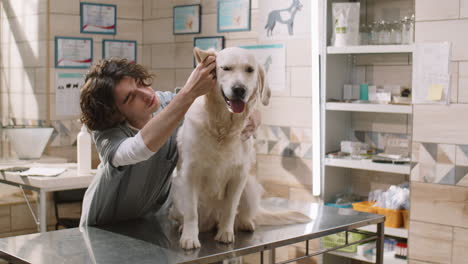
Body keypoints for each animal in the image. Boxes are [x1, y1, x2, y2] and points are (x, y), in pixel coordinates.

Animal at [171, 46, 310, 250]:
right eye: (225, 68)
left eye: (249, 70)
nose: (239, 89)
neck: (222, 127)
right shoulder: (189, 173)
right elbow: (191, 213)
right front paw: (189, 237)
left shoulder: (238, 175)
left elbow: (230, 208)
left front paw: (225, 233)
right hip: (177, 189)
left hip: (249, 186)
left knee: (240, 213)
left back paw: (244, 223)